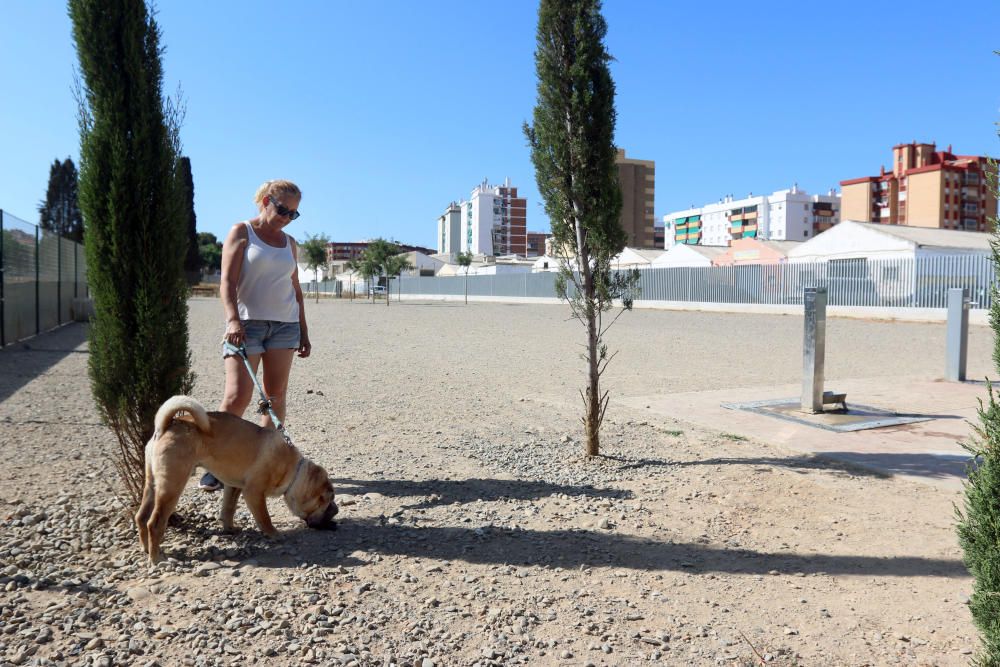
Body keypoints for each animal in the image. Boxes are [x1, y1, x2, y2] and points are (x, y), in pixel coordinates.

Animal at [135, 396, 338, 564]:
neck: (293, 469)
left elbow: (228, 509)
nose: (336, 510)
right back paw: (157, 558)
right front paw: (274, 534)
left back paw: (146, 549)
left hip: (152, 485)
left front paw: (229, 528)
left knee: (141, 517)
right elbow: (264, 518)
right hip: (172, 486)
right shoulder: (253, 493)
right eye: (326, 501)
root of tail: (167, 425)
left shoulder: (233, 487)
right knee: (155, 523)